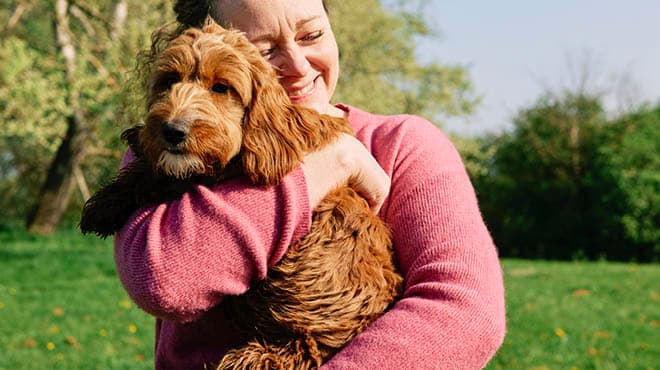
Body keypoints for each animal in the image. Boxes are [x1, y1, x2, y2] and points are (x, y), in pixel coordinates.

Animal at [82, 19, 402, 370]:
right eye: (168, 81)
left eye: (221, 87)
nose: (172, 131)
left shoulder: (236, 166)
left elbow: (167, 176)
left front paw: (106, 201)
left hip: (297, 335)